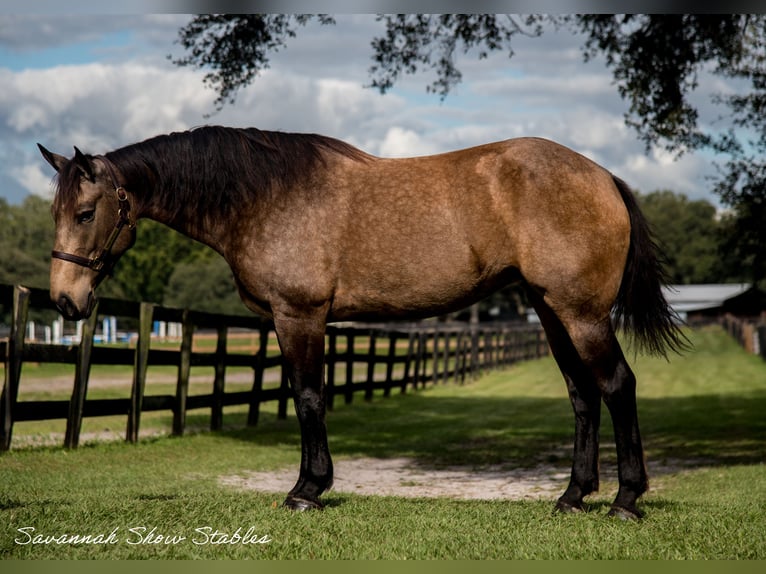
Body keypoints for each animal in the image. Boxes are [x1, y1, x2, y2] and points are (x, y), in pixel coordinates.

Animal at [39, 127, 688, 520]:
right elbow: (306, 397)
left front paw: (307, 491)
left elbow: (308, 398)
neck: (264, 197)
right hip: (553, 311)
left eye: (86, 212)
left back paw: (626, 500)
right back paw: (573, 495)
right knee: (583, 395)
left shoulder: (300, 315)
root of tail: (602, 176)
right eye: (56, 212)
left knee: (617, 386)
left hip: (581, 315)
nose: (65, 302)